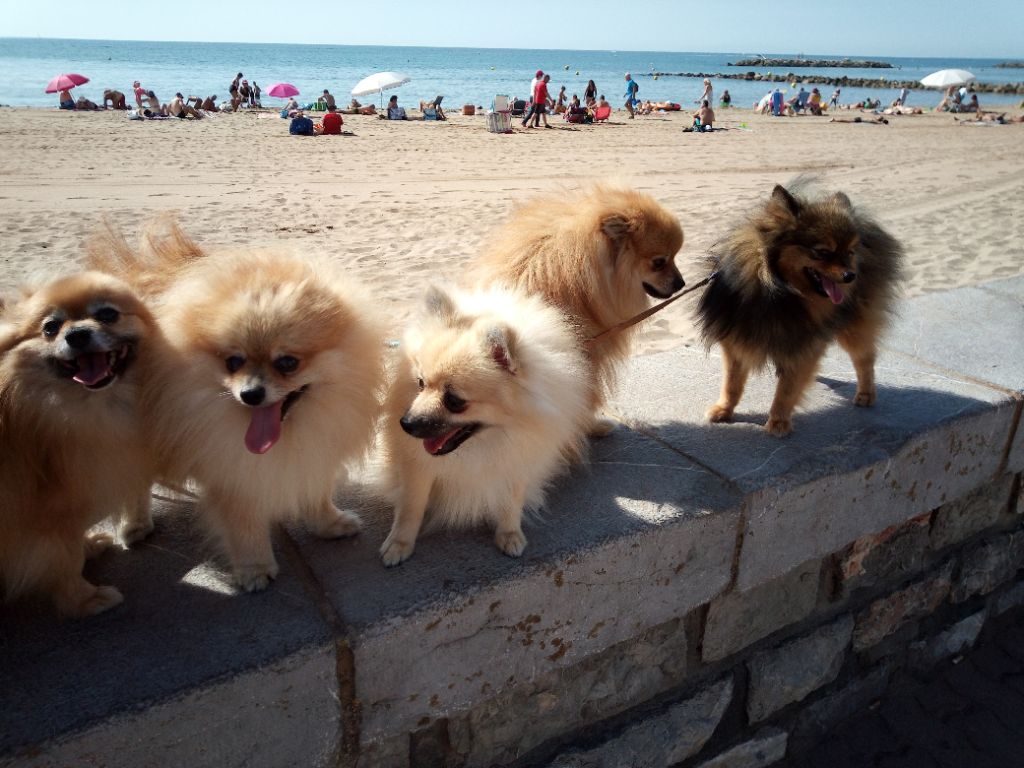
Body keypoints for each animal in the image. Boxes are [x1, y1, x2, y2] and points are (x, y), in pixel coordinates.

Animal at [0, 272, 159, 618]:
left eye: (108, 314)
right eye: (50, 328)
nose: (77, 334)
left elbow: (69, 549)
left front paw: (88, 547)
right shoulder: (49, 516)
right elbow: (65, 559)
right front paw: (84, 601)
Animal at [90, 225, 385, 593]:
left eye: (287, 363)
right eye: (233, 362)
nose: (251, 394)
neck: (291, 432)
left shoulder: (316, 451)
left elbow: (315, 491)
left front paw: (328, 524)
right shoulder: (233, 472)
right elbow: (244, 525)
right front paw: (254, 568)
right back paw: (135, 524)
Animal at [380, 286, 593, 569]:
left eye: (454, 401)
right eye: (421, 383)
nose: (406, 423)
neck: (483, 443)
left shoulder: (517, 459)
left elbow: (510, 502)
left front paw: (509, 533)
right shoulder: (417, 466)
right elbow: (411, 506)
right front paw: (399, 543)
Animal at [696, 182, 905, 438]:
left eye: (849, 253)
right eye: (823, 252)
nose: (850, 275)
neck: (779, 293)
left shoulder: (802, 344)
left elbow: (787, 390)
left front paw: (778, 422)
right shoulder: (737, 341)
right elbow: (732, 383)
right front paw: (724, 410)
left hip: (853, 327)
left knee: (865, 358)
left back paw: (866, 393)